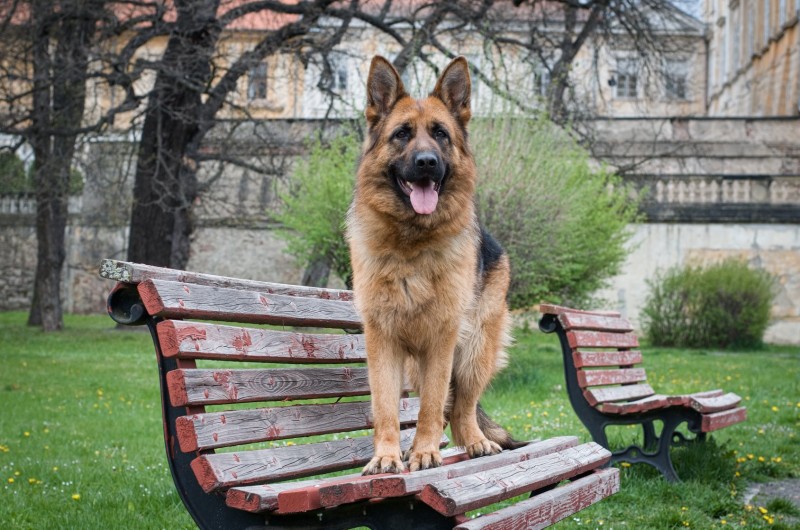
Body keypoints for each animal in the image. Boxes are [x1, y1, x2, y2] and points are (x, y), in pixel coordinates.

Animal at [348, 55, 520, 472]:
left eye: (441, 134)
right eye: (402, 134)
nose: (427, 162)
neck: (411, 244)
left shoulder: (442, 340)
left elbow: (432, 402)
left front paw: (426, 452)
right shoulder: (382, 342)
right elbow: (385, 407)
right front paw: (387, 456)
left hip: (474, 351)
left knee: (461, 407)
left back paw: (475, 443)